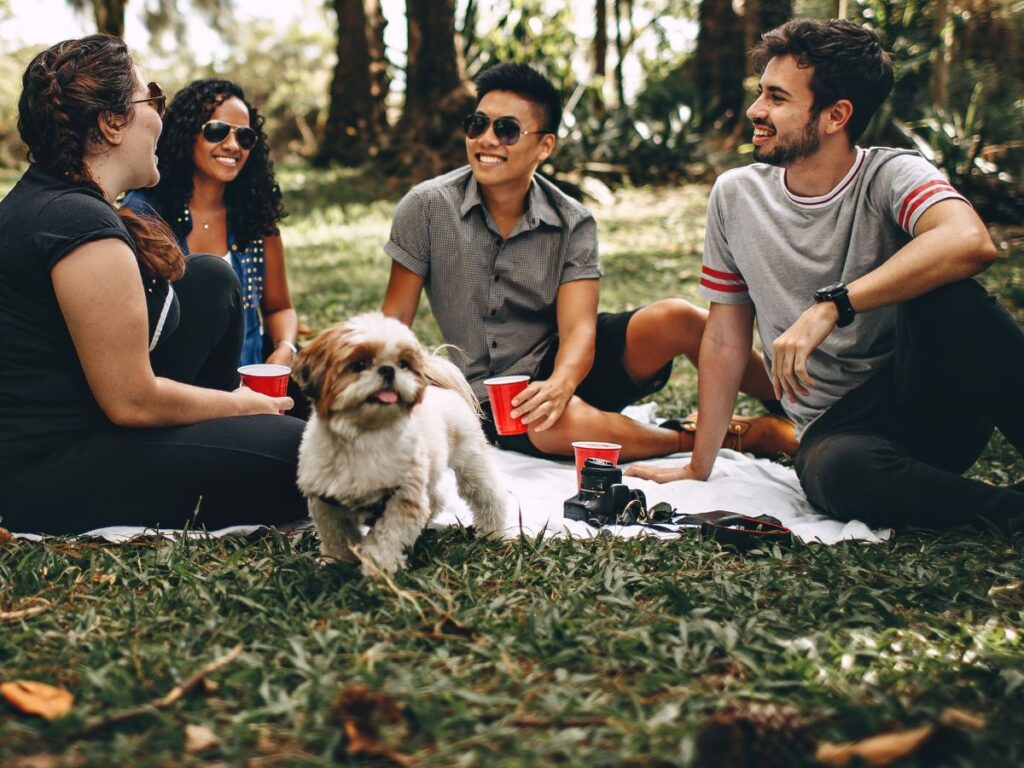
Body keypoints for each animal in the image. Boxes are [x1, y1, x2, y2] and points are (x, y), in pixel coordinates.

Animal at [292, 313, 507, 577]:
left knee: (488, 495)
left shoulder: (403, 498)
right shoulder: (326, 502)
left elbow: (387, 538)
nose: (388, 370)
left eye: (403, 363)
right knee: (435, 498)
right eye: (359, 364)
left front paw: (378, 567)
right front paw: (335, 564)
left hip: (471, 461)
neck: (364, 435)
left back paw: (492, 532)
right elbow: (336, 537)